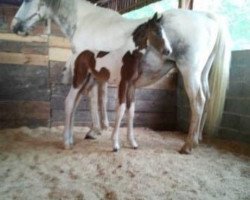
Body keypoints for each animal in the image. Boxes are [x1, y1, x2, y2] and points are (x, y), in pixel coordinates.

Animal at [11, 0, 230, 154]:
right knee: (207, 99)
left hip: (189, 71)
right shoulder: (105, 77)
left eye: (27, 0)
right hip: (202, 73)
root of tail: (209, 18)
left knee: (198, 101)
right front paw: (104, 131)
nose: (14, 26)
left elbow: (97, 100)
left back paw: (188, 145)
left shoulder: (100, 78)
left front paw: (98, 131)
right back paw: (197, 139)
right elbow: (105, 100)